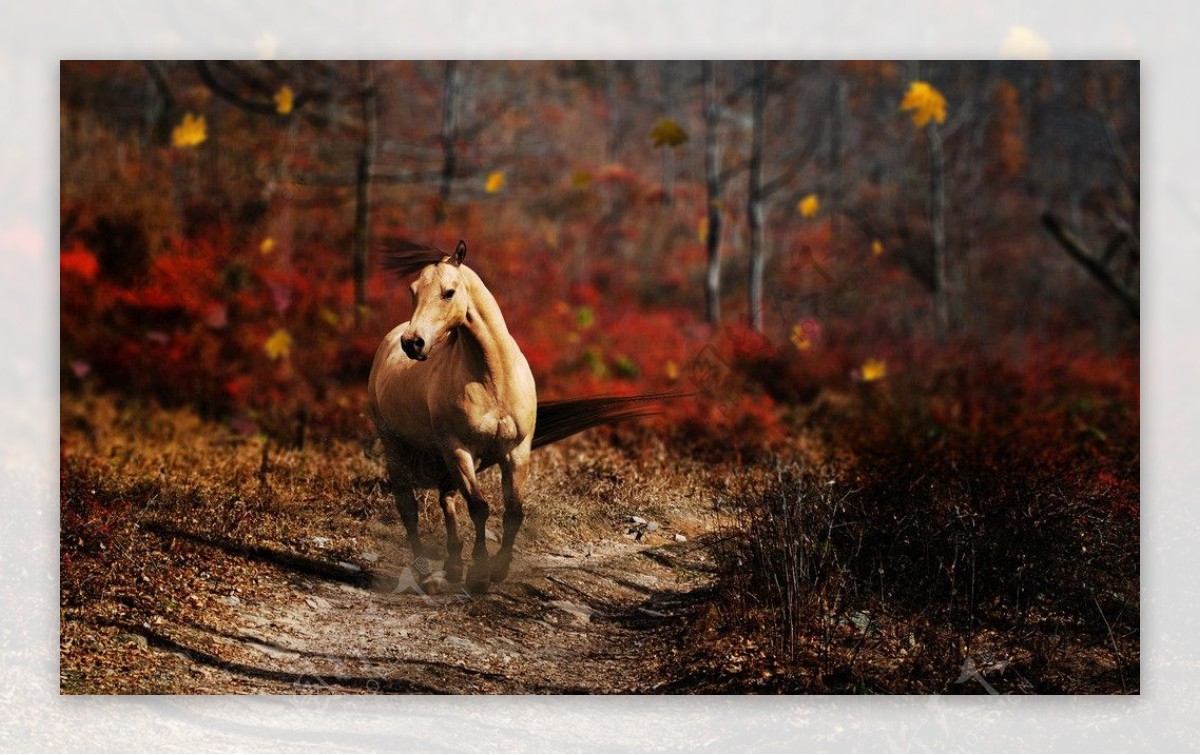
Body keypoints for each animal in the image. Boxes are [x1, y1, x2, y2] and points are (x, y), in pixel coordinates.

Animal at [369, 238, 681, 592]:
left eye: (448, 292)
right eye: (413, 290)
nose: (413, 343)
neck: (493, 378)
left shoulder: (515, 450)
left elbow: (514, 511)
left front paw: (498, 570)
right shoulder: (460, 449)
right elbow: (479, 507)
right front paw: (479, 574)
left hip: (442, 454)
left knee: (446, 499)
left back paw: (453, 567)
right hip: (399, 446)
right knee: (408, 507)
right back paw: (425, 573)